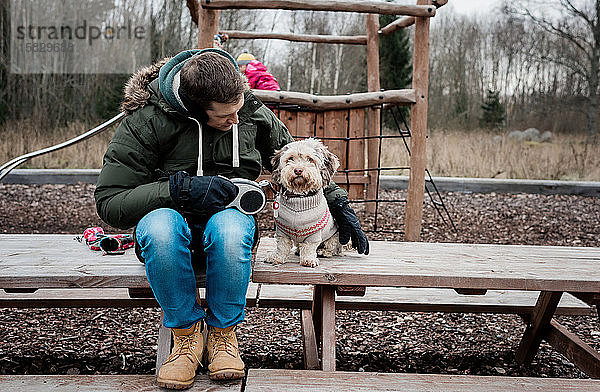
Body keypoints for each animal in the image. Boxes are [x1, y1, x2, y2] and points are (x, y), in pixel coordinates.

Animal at [266, 136, 344, 268]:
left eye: (310, 159)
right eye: (290, 158)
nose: (298, 170)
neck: (299, 198)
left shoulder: (313, 234)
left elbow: (309, 247)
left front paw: (309, 260)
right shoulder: (282, 231)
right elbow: (282, 246)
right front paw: (277, 258)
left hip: (335, 236)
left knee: (333, 248)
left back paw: (324, 252)